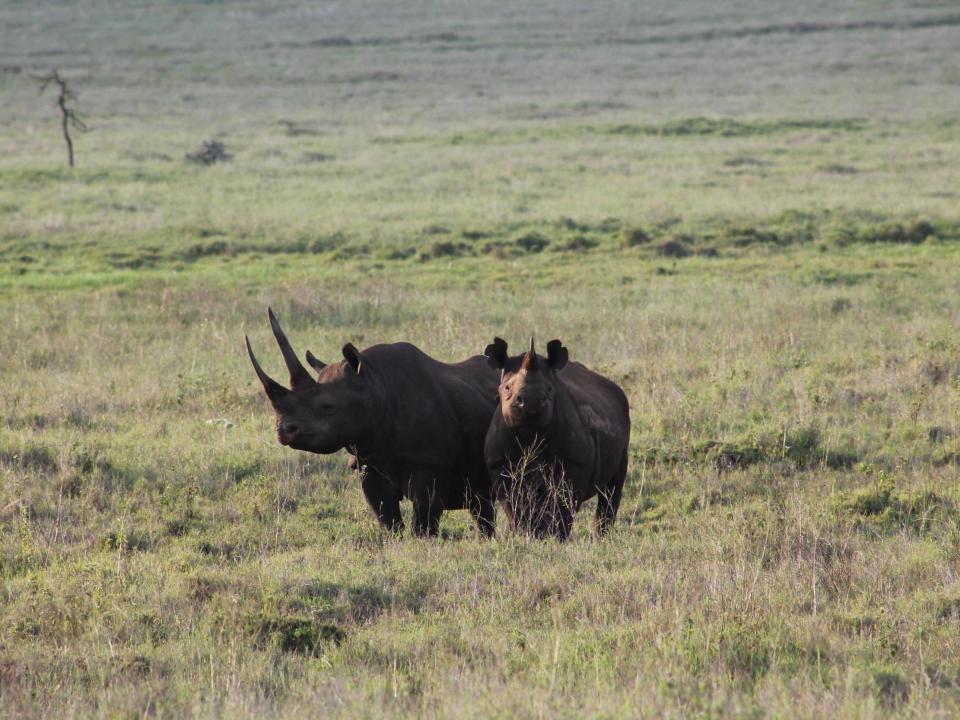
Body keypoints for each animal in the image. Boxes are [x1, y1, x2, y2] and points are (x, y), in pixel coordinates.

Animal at [248, 310, 498, 536]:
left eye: (328, 407)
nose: (283, 430)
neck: (375, 385)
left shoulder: (430, 465)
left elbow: (423, 522)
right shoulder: (367, 462)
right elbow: (388, 521)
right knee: (481, 503)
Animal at [480, 338, 632, 540]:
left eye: (550, 389)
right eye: (506, 388)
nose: (531, 400)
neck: (530, 432)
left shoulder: (574, 463)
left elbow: (563, 504)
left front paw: (556, 537)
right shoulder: (501, 465)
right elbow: (514, 505)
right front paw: (525, 534)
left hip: (622, 415)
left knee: (613, 486)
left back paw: (601, 537)